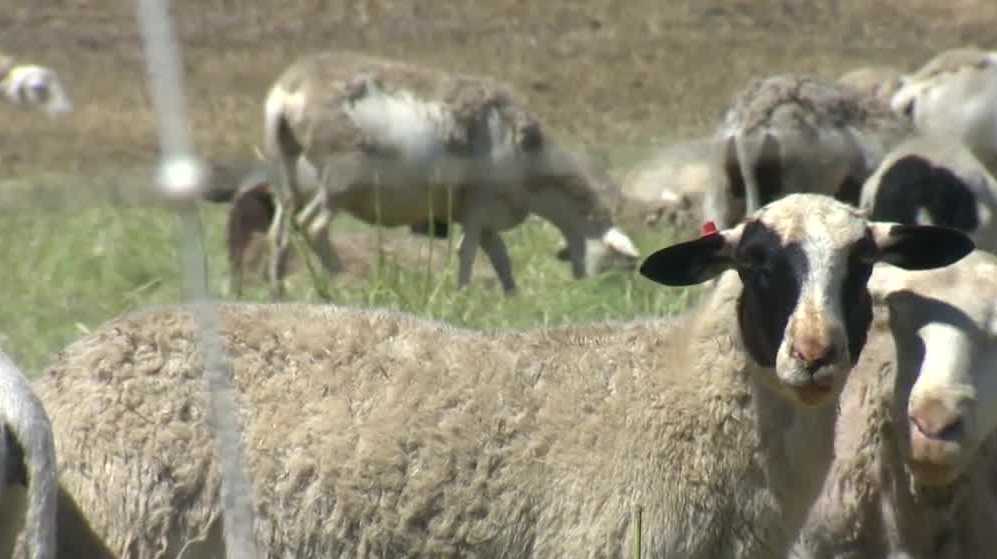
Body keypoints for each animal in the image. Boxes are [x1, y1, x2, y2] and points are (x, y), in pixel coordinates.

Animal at [262, 51, 639, 297]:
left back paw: (278, 291)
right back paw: (346, 284)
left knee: (279, 232)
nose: (595, 297)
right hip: (341, 179)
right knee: (313, 226)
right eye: (618, 265)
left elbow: (500, 258)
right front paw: (463, 295)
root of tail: (288, 91)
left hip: (286, 175)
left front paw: (512, 297)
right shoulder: (477, 206)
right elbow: (467, 252)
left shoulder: (485, 216)